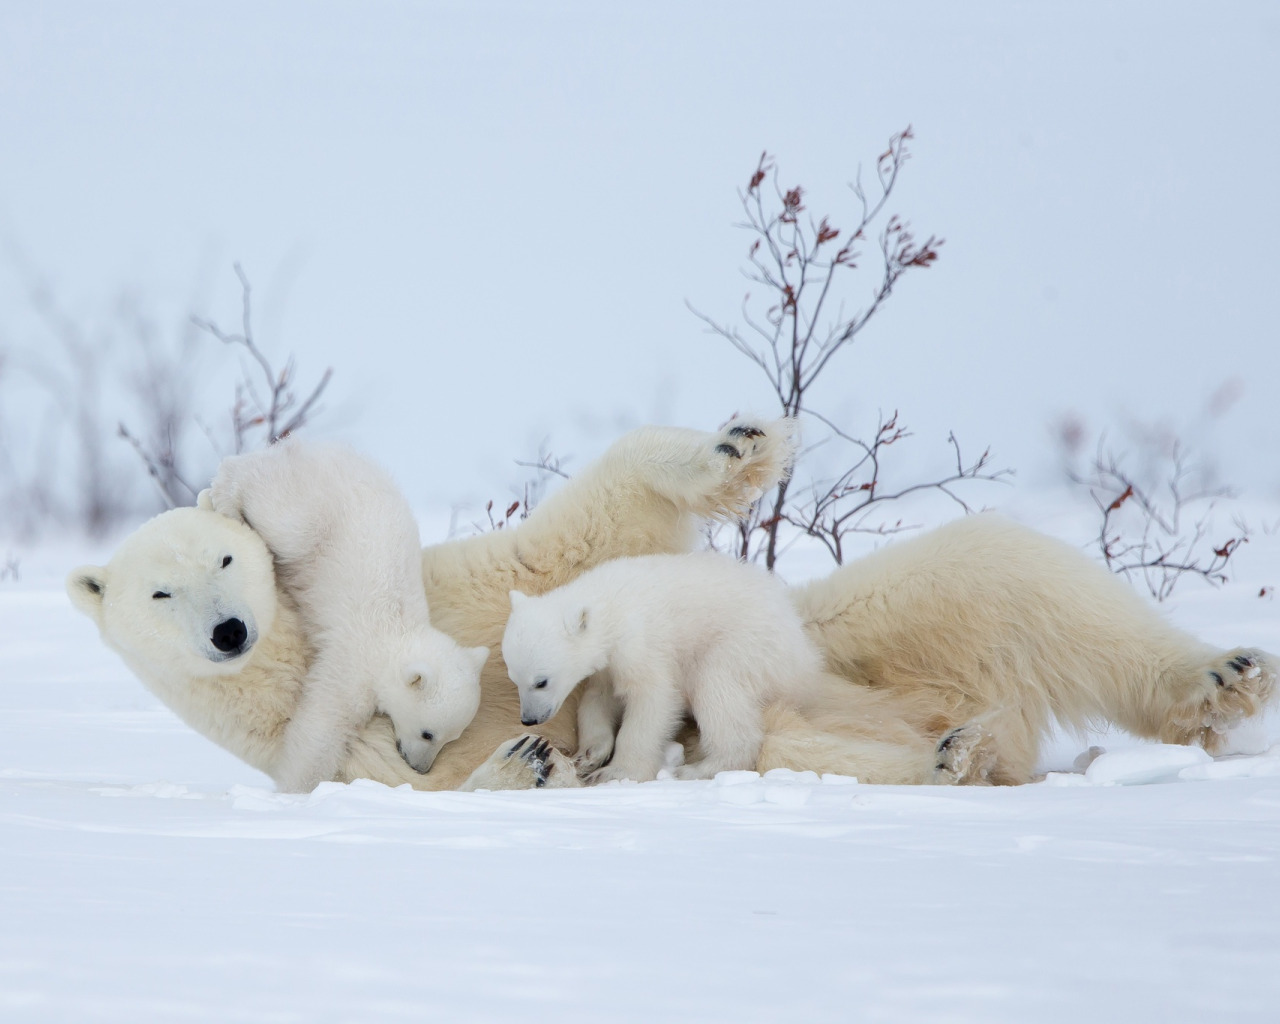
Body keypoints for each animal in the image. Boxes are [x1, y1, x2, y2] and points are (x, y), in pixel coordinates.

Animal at [204, 440, 488, 793]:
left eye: (452, 737)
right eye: (428, 733)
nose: (420, 767)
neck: (398, 632)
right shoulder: (356, 659)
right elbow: (323, 721)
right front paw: (297, 789)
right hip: (312, 512)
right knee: (277, 515)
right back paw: (225, 496)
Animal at [499, 552, 829, 783]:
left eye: (541, 681)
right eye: (514, 678)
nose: (529, 719)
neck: (611, 606)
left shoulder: (643, 644)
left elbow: (654, 700)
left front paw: (616, 772)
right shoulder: (607, 666)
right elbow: (597, 699)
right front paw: (588, 756)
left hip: (746, 646)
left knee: (717, 690)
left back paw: (696, 770)